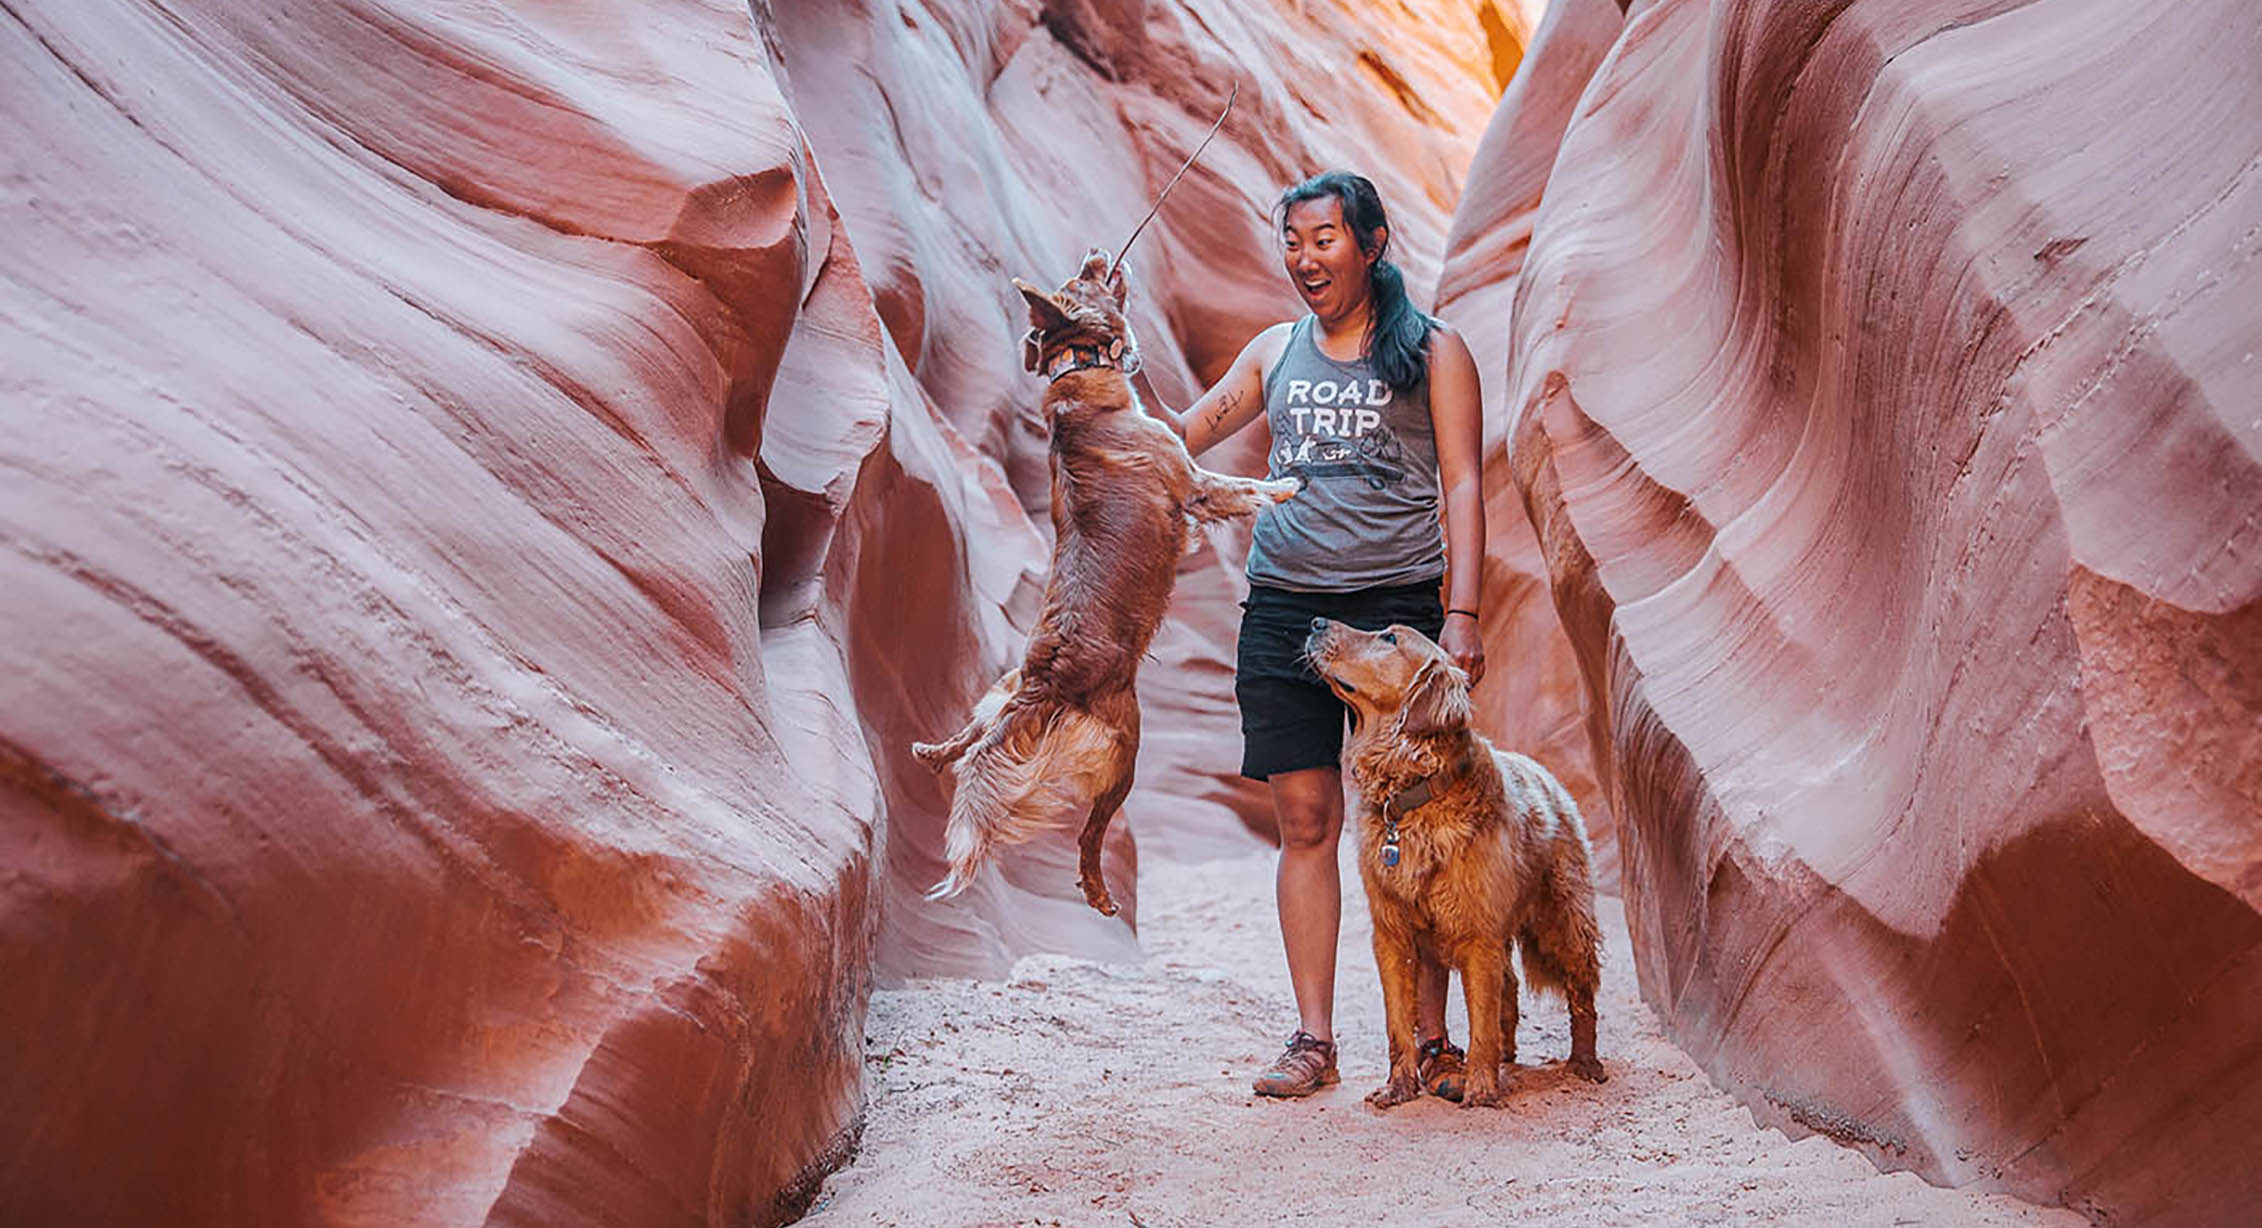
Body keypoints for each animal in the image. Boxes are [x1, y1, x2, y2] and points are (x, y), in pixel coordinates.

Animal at [913, 252, 1302, 913]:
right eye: (1084, 280)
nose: (1098, 253)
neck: (1080, 378)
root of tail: (1040, 684)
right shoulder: (1194, 482)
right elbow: (1244, 488)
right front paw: (1285, 486)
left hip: (1000, 694)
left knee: (970, 737)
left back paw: (935, 752)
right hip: (1126, 746)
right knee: (1091, 834)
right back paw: (1096, 890)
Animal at [1311, 619, 1610, 1108]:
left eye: (1389, 638)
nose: (1315, 622)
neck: (1412, 793)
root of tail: (1548, 776)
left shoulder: (1477, 934)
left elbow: (1480, 1023)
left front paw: (1481, 1090)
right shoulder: (1393, 934)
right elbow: (1399, 1026)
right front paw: (1399, 1087)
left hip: (1563, 923)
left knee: (1581, 995)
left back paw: (1584, 1063)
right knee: (1510, 985)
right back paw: (1508, 1053)